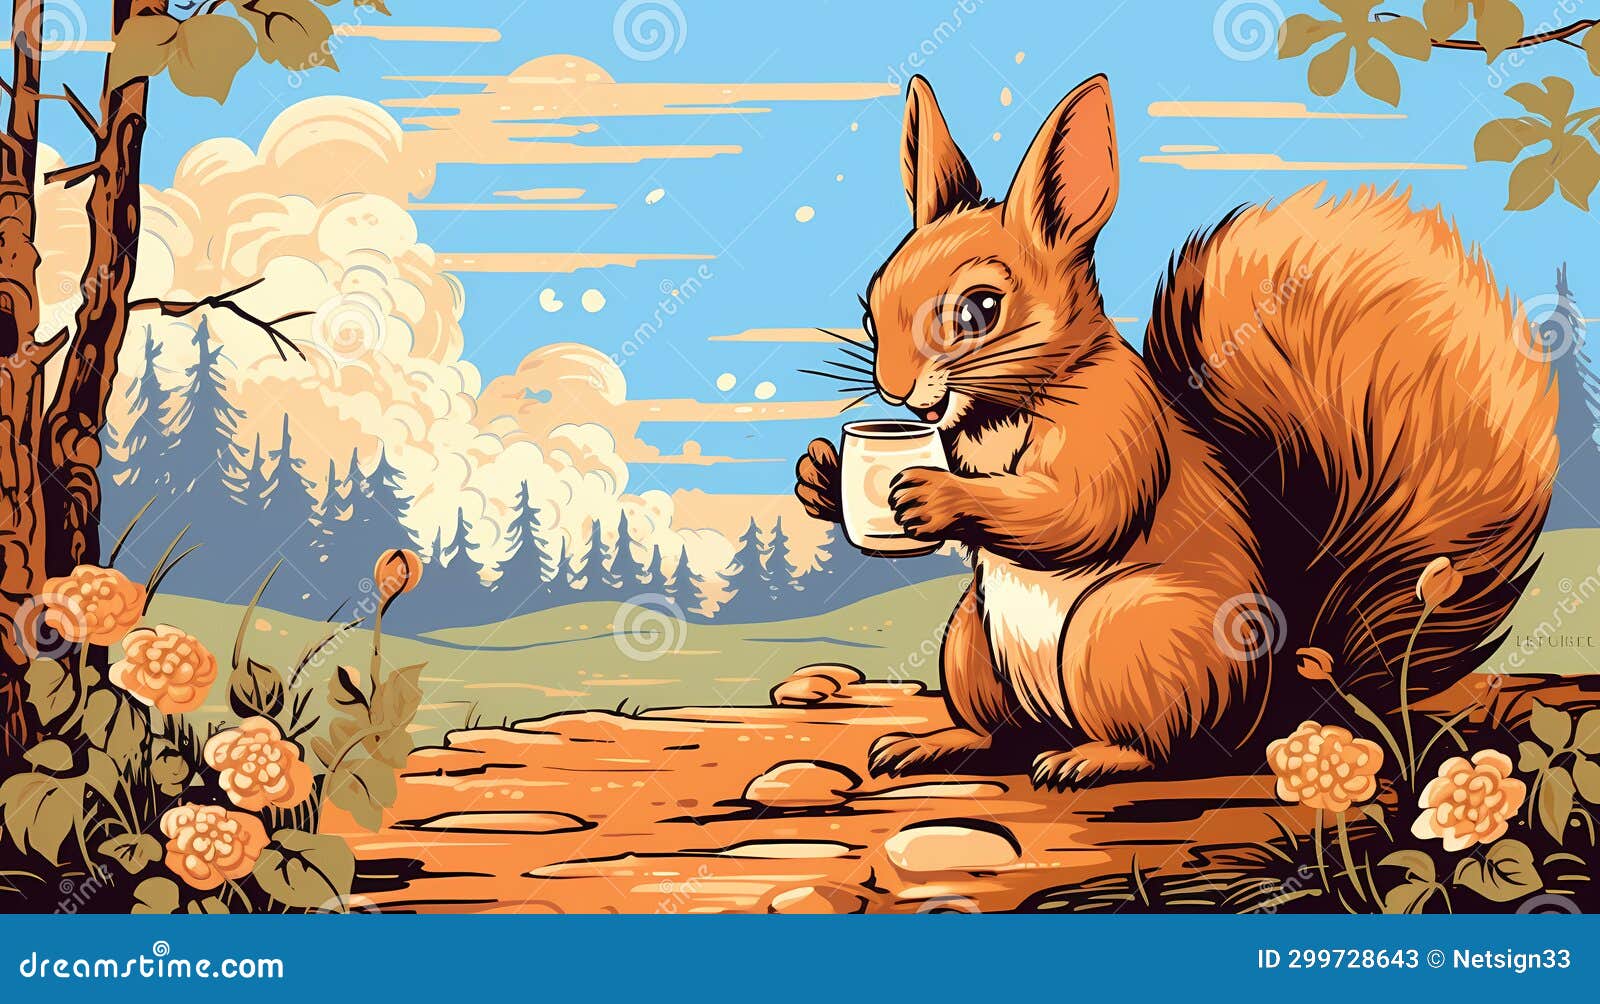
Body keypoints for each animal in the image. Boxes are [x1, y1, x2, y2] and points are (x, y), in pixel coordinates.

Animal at [793, 74, 1558, 790]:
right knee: (999, 733)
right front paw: (822, 478)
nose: (895, 392)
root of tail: (1269, 708)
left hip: (1124, 634)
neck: (999, 411)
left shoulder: (1116, 424)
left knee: (1161, 749)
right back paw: (940, 743)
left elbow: (1078, 512)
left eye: (981, 309)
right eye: (871, 303)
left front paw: (934, 495)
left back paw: (1092, 759)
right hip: (970, 645)